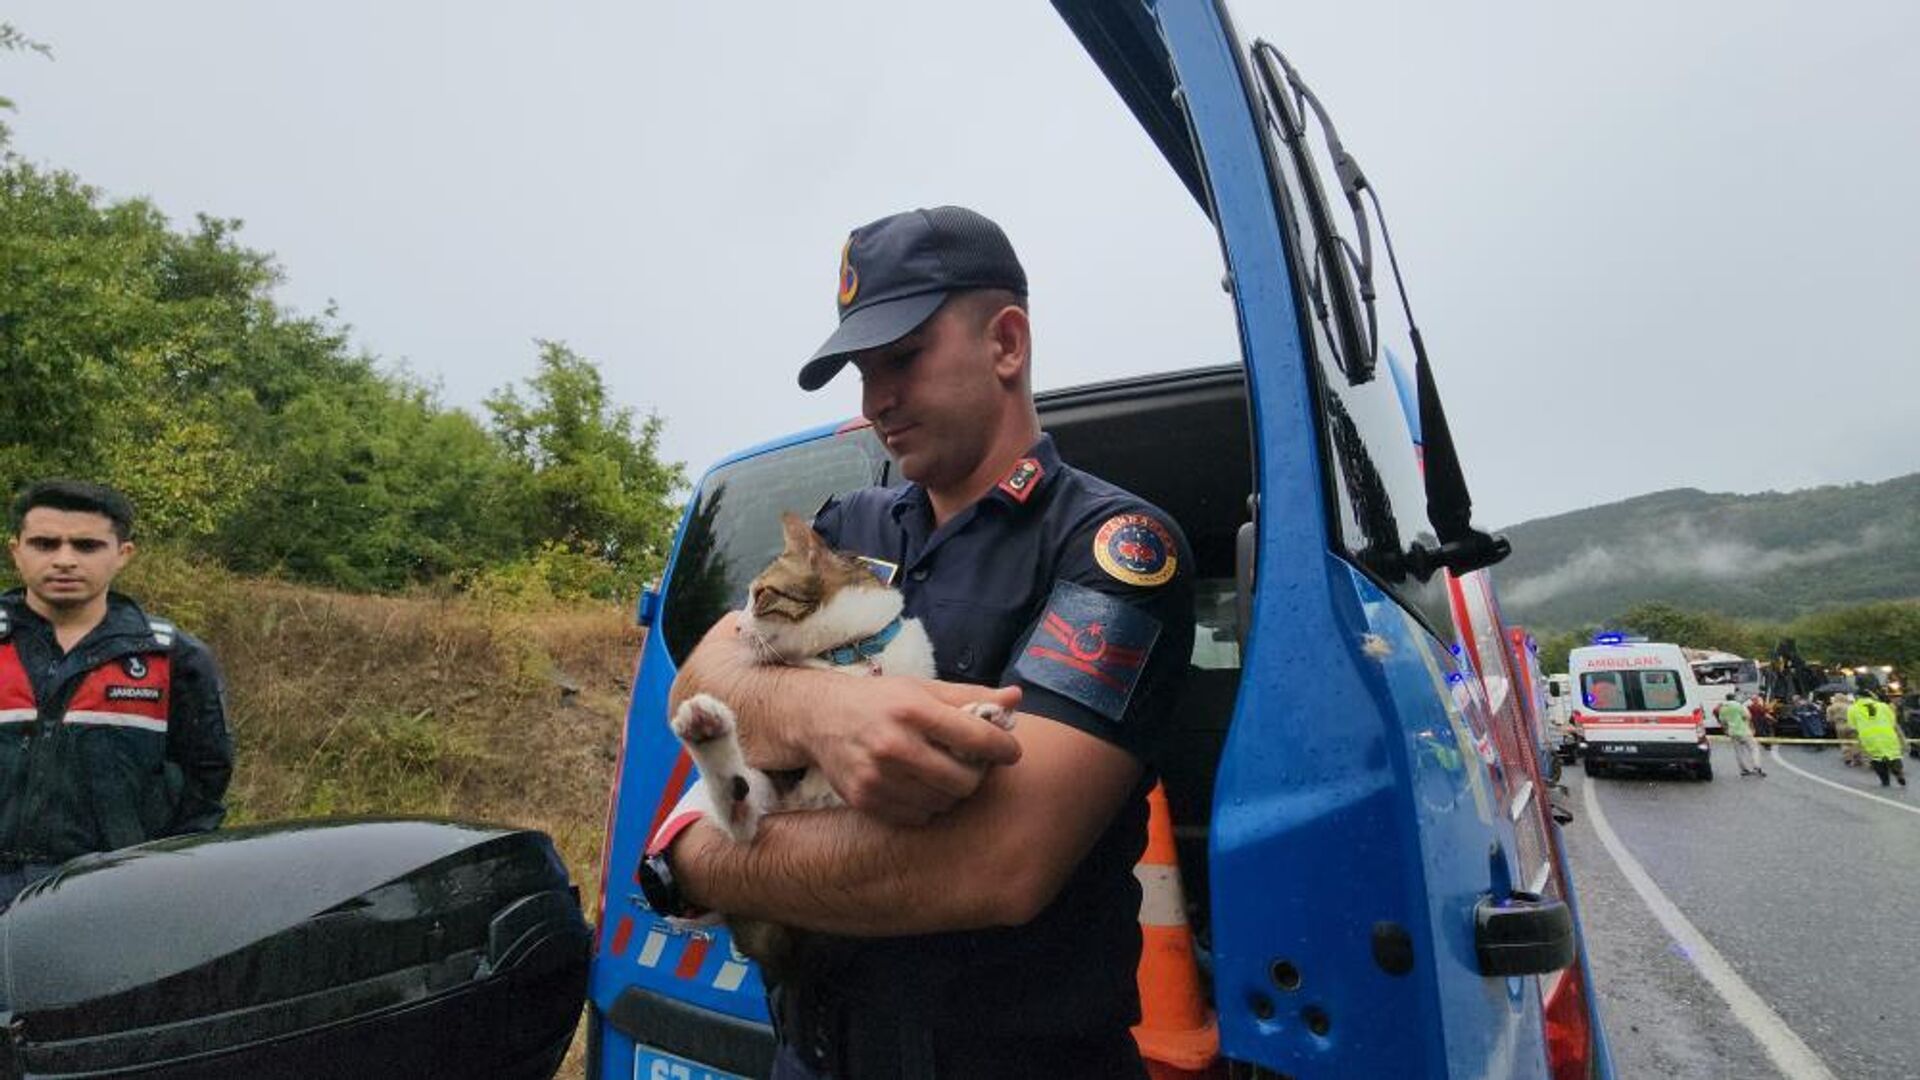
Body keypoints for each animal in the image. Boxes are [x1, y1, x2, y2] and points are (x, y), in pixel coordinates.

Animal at [652, 205, 1190, 1068]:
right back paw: (707, 728)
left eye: (762, 592)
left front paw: (979, 712)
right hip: (761, 804)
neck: (854, 657)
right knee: (740, 816)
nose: (733, 621)